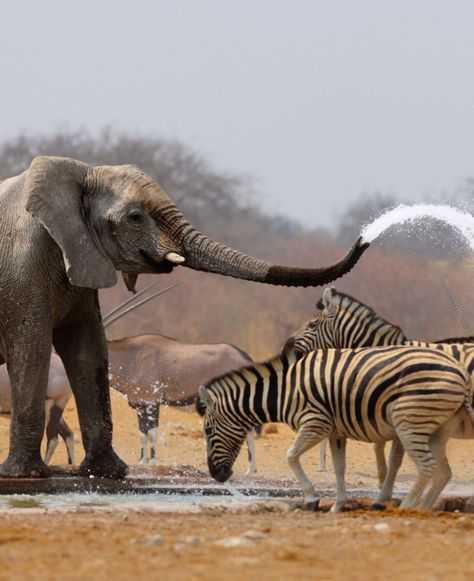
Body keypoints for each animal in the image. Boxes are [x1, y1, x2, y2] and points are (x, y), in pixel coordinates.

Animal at [0, 154, 370, 476]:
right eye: (135, 217)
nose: (364, 239)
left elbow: (87, 351)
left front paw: (109, 471)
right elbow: (42, 348)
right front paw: (31, 474)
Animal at [197, 346, 474, 510]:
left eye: (207, 431)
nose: (217, 476)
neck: (286, 390)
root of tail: (460, 370)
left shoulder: (315, 422)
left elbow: (291, 456)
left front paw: (311, 498)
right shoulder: (335, 431)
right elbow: (339, 468)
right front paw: (338, 505)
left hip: (408, 421)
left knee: (427, 466)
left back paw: (406, 506)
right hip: (435, 428)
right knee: (442, 472)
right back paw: (422, 508)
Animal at [284, 288, 474, 506]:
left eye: (312, 325)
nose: (285, 348)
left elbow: (394, 458)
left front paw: (383, 495)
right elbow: (380, 449)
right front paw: (383, 487)